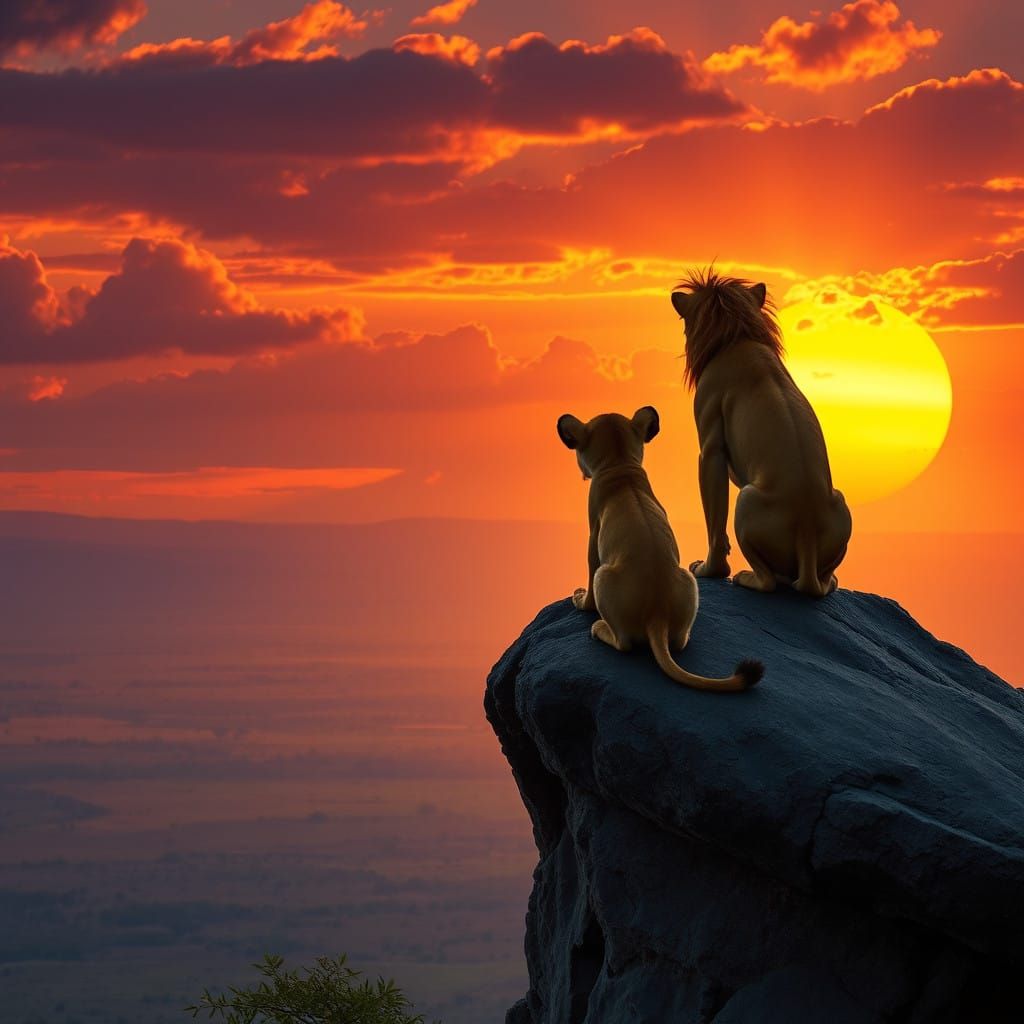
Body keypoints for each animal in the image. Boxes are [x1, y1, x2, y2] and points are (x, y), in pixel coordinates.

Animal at [558, 406, 763, 691]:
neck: (620, 464)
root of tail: (658, 615)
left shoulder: (593, 532)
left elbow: (589, 571)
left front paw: (580, 599)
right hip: (688, 578)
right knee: (680, 641)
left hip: (605, 578)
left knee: (624, 642)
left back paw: (599, 627)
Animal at [670, 269, 852, 597]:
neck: (737, 337)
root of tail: (806, 534)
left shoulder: (710, 448)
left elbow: (714, 522)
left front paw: (707, 569)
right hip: (841, 507)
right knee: (819, 582)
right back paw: (829, 581)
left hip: (746, 497)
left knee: (767, 581)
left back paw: (745, 577)